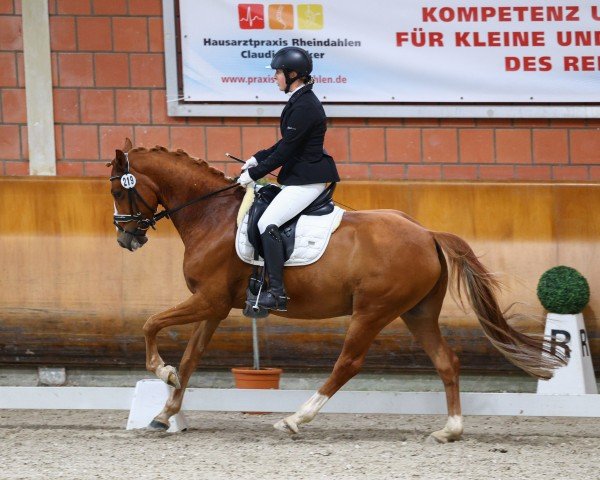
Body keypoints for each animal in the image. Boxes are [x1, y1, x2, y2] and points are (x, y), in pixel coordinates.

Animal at [110, 140, 564, 442]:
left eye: (118, 189)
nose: (127, 239)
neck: (212, 214)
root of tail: (427, 233)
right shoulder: (215, 307)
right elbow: (190, 359)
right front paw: (165, 413)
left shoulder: (208, 300)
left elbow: (151, 325)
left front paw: (161, 371)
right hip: (416, 312)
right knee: (446, 361)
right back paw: (449, 430)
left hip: (372, 311)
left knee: (348, 364)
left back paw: (295, 419)